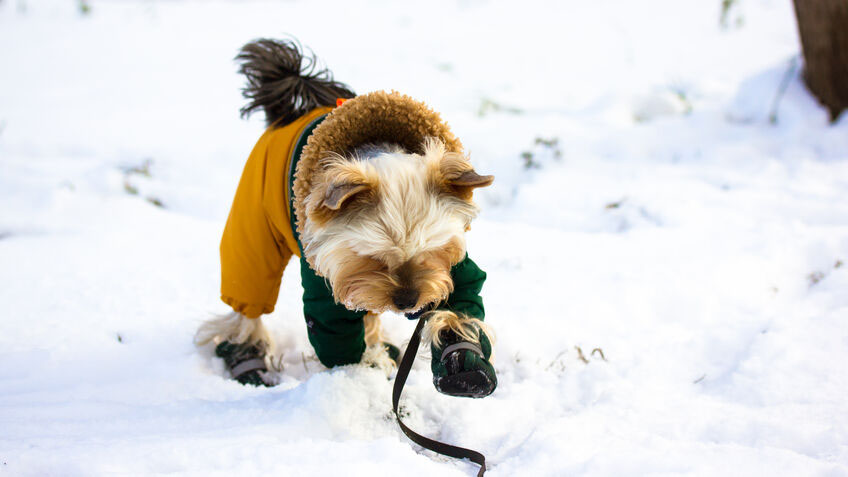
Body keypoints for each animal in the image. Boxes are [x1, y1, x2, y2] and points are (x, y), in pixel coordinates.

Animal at [195, 39, 494, 396]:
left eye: (433, 253)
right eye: (373, 258)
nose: (408, 301)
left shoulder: (455, 269)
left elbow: (464, 299)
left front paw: (464, 360)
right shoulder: (325, 274)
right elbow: (335, 334)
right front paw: (360, 373)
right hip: (253, 218)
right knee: (247, 293)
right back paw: (246, 354)